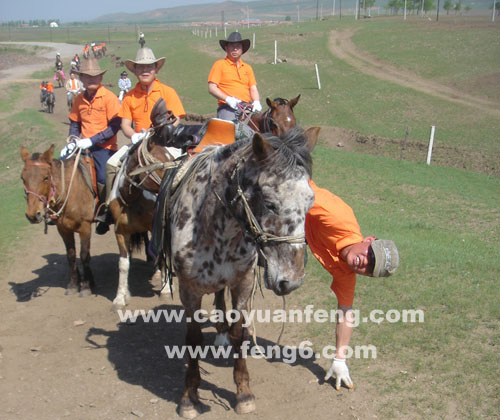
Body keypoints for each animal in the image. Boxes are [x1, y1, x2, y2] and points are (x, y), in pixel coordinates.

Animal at [20, 144, 96, 296]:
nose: (33, 215)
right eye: (22, 178)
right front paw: (73, 284)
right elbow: (71, 256)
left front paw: (85, 286)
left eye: (45, 178)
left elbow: (84, 255)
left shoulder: (85, 227)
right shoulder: (63, 230)